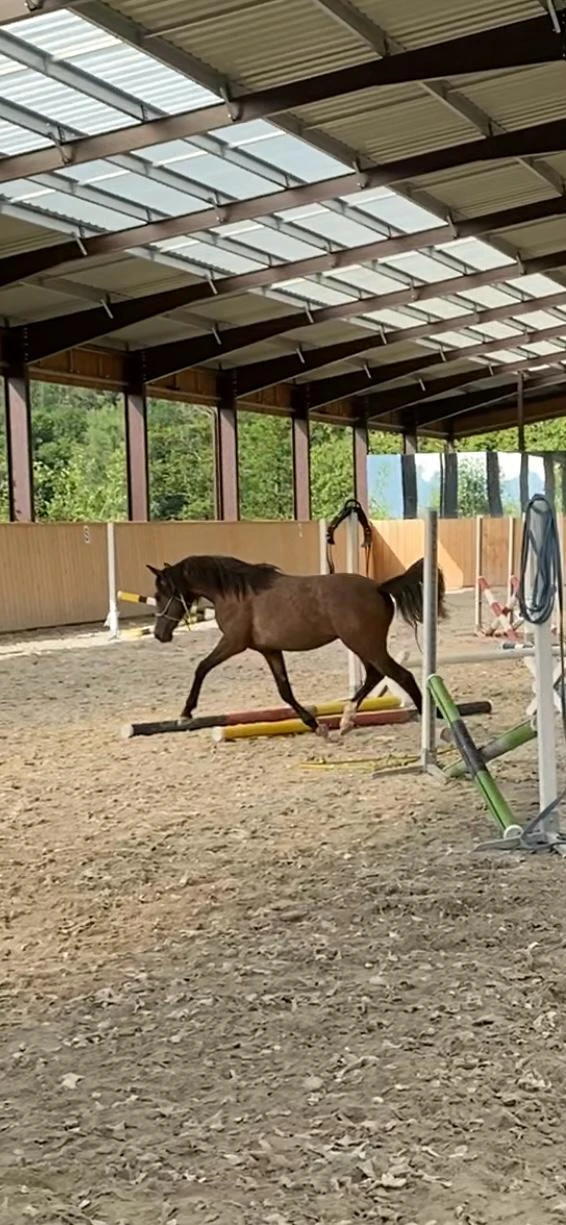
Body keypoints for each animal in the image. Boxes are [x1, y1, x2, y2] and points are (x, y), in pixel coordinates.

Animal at [147, 554, 446, 736]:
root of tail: (379, 588)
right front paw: (315, 725)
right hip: (362, 646)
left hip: (365, 645)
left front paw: (185, 714)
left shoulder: (233, 643)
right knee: (375, 675)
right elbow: (285, 691)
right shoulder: (269, 650)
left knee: (401, 676)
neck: (236, 594)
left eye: (160, 594)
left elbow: (202, 668)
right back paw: (346, 720)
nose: (160, 634)